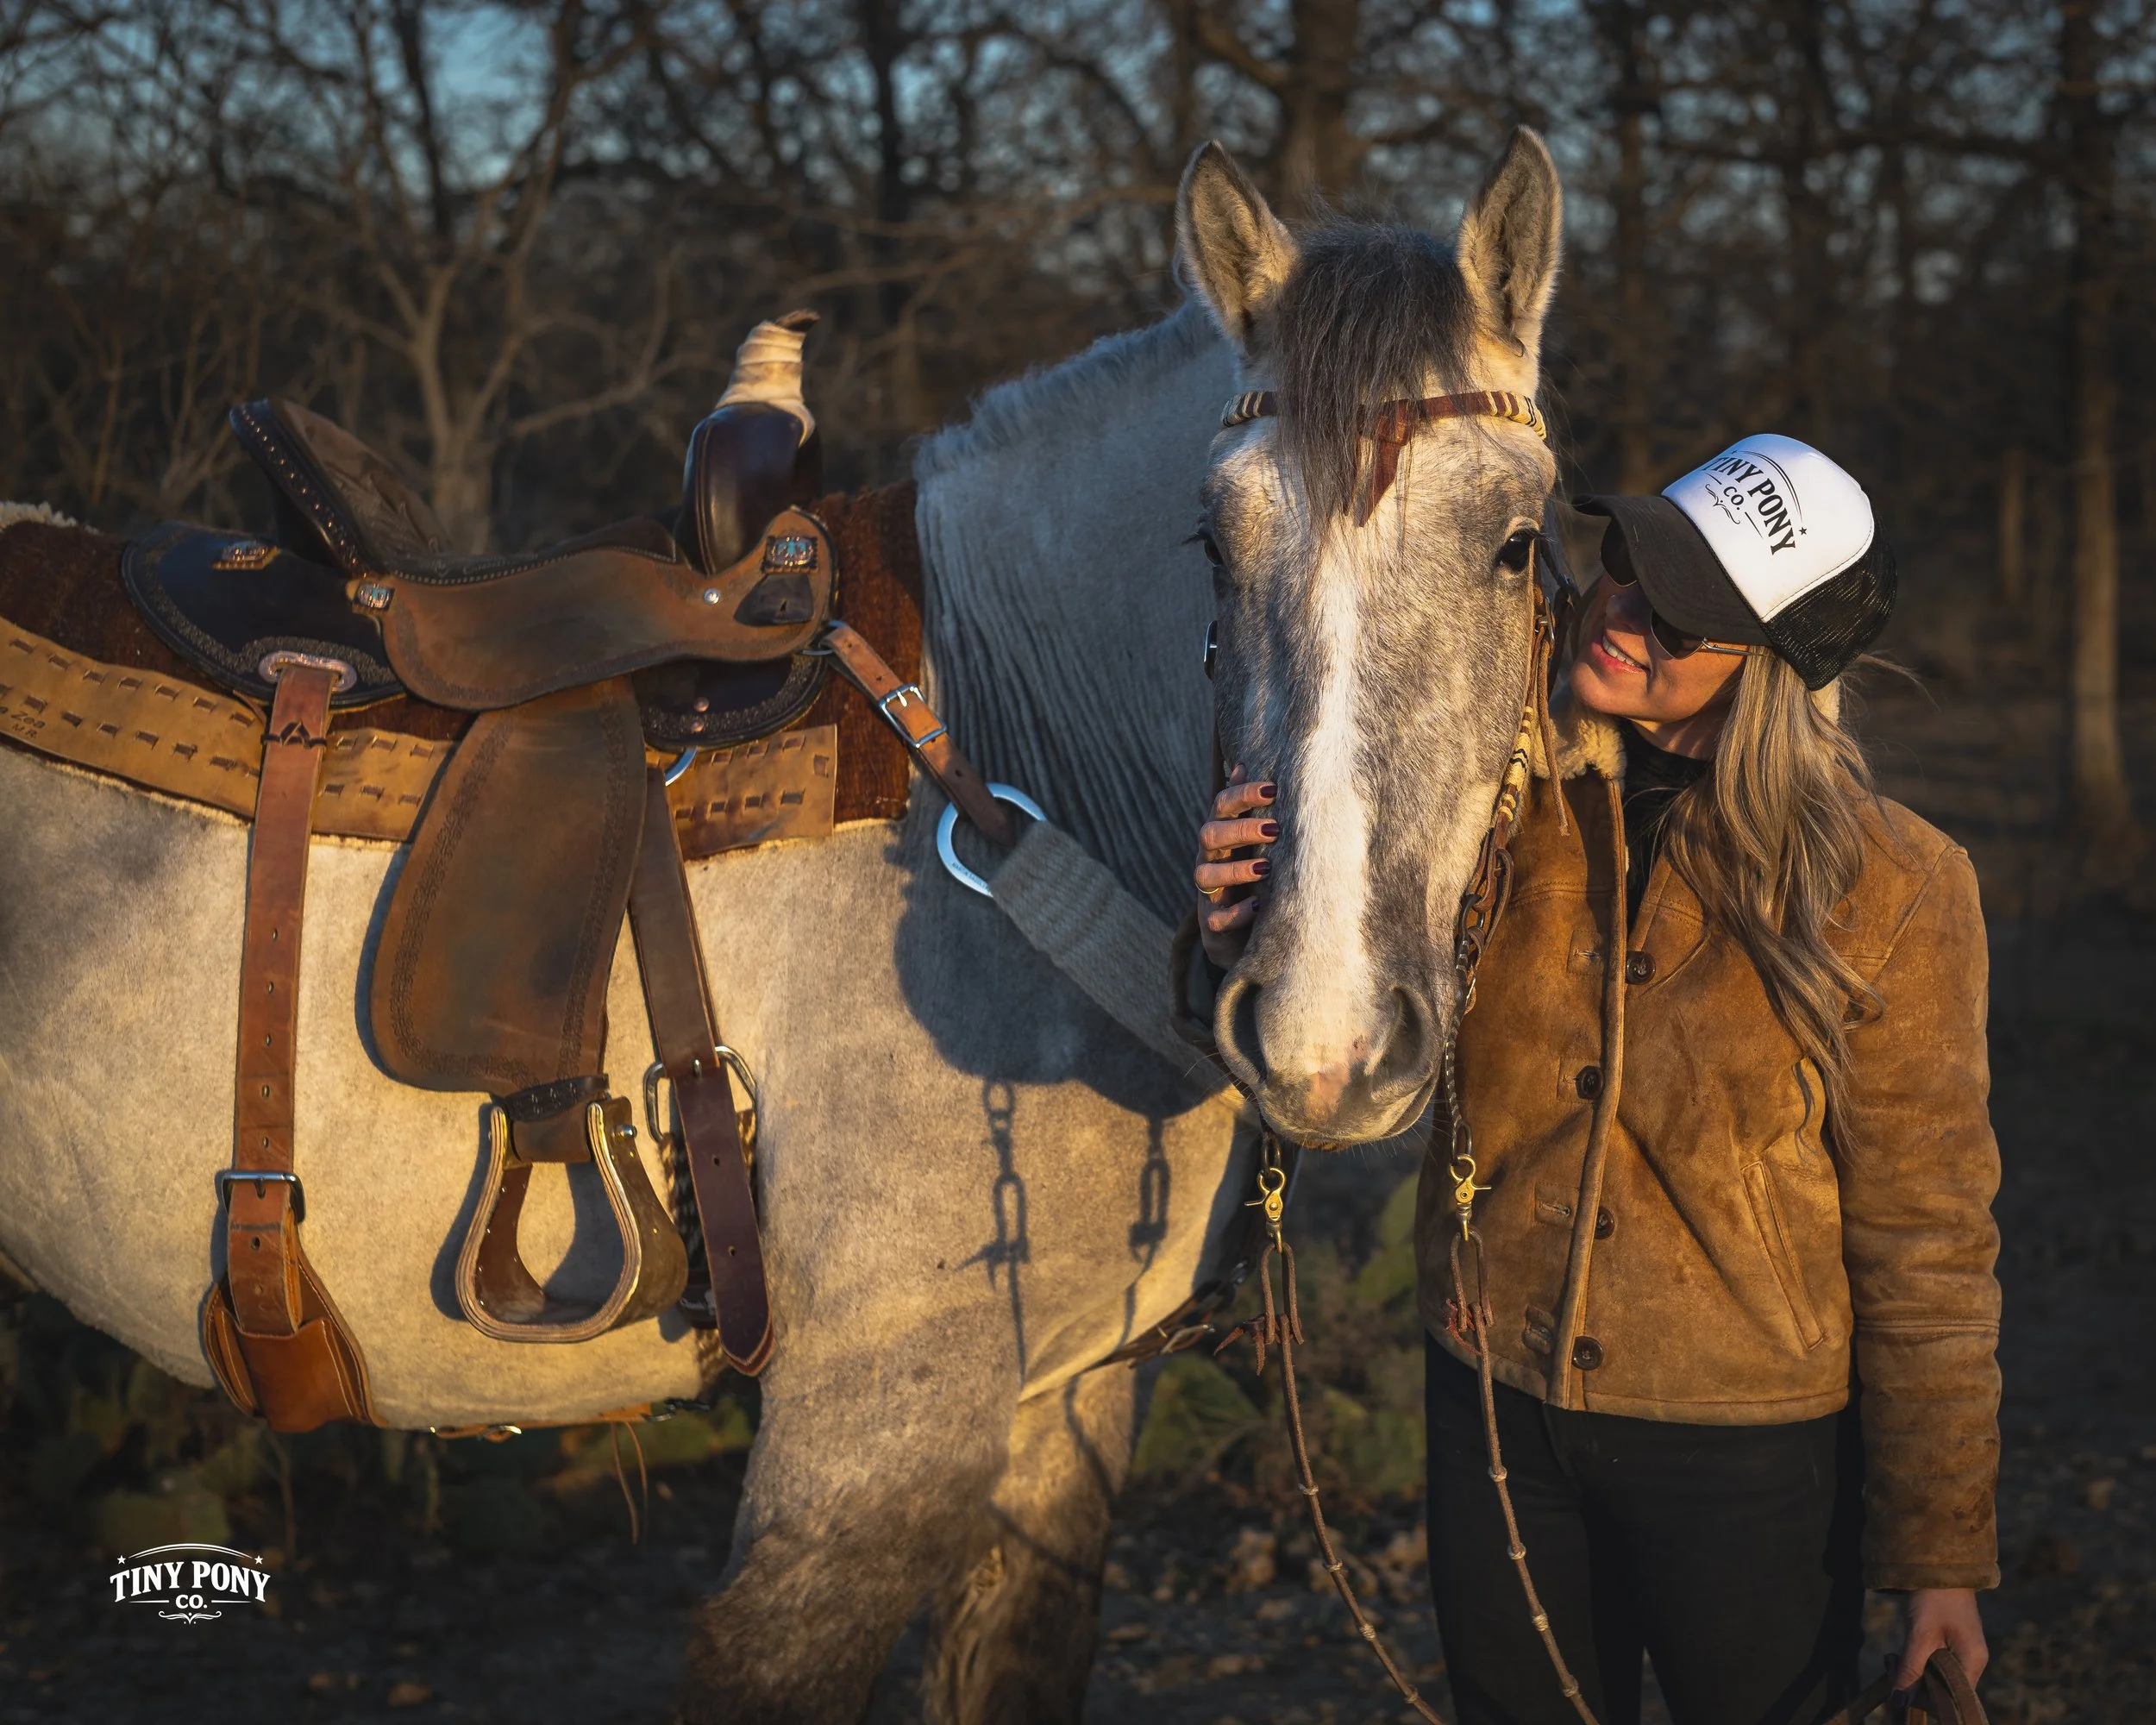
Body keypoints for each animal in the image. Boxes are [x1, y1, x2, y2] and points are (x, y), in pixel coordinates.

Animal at [0, 128, 1562, 1721]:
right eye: (1211, 543)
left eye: (1517, 545)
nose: (1322, 1036)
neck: (1002, 759)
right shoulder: (873, 1438)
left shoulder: (1065, 1406)